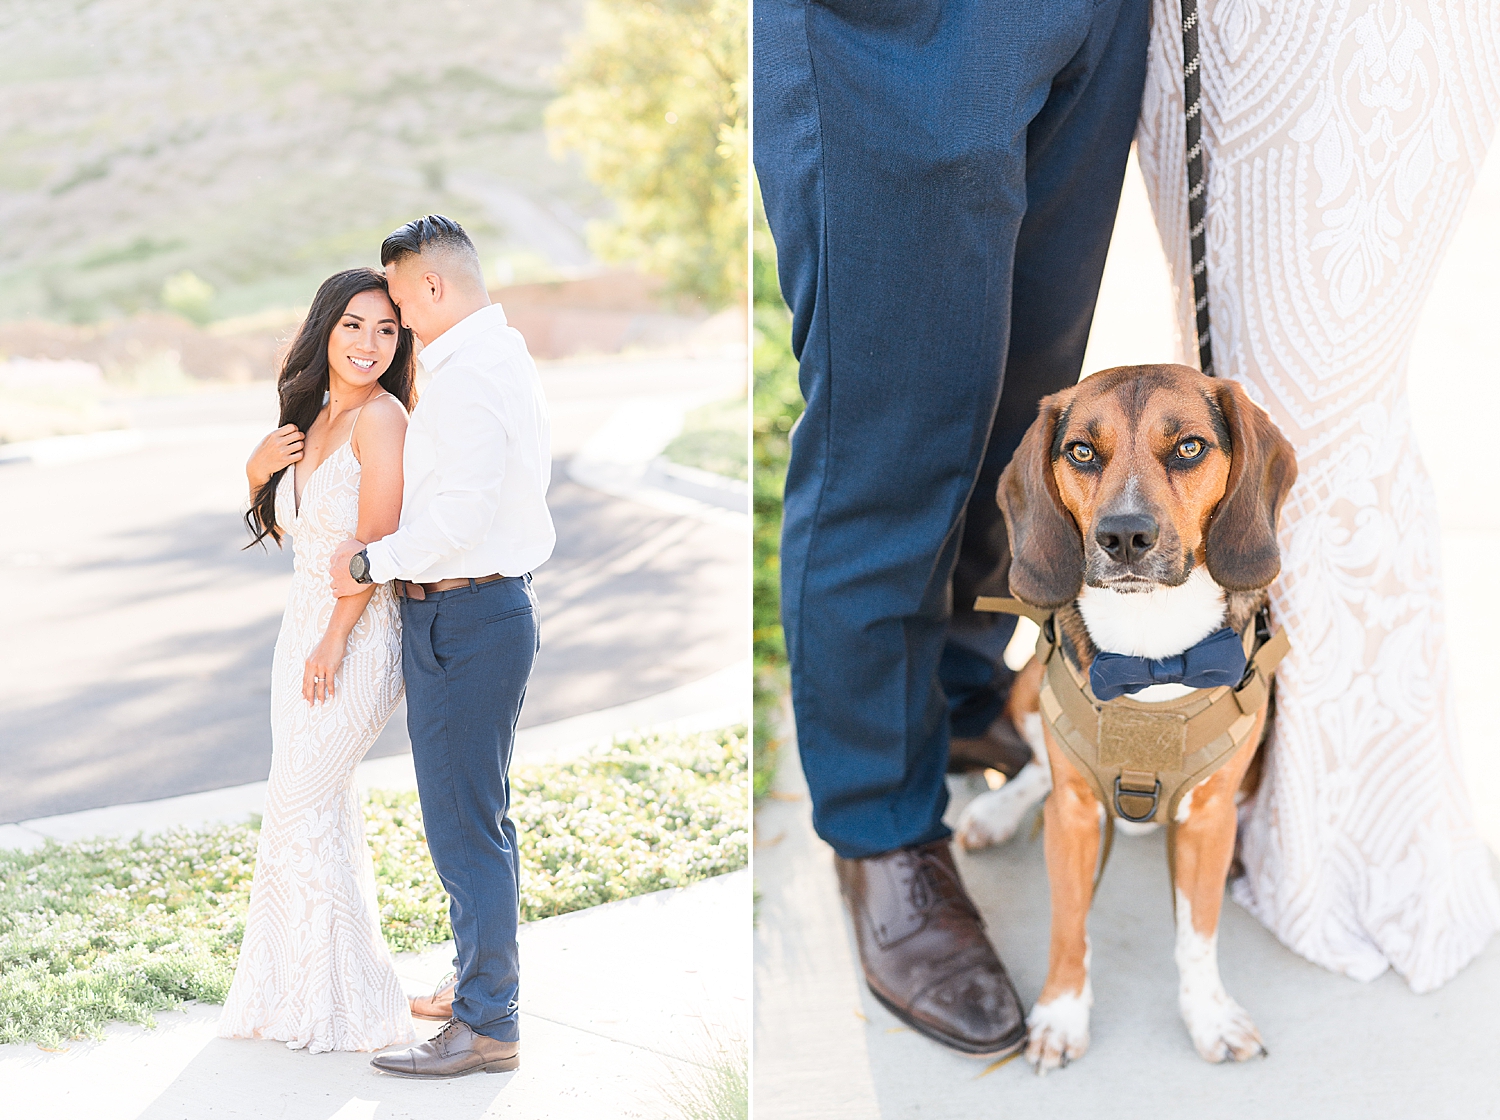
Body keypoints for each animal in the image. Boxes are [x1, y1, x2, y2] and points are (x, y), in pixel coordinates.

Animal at [966, 364, 1296, 1073]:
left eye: (1190, 447)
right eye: (1082, 451)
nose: (1123, 536)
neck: (1150, 655)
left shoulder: (1210, 819)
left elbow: (1197, 934)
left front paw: (1209, 1016)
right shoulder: (1073, 818)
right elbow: (1069, 924)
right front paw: (1061, 1014)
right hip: (1028, 687)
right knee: (1040, 765)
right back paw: (996, 811)